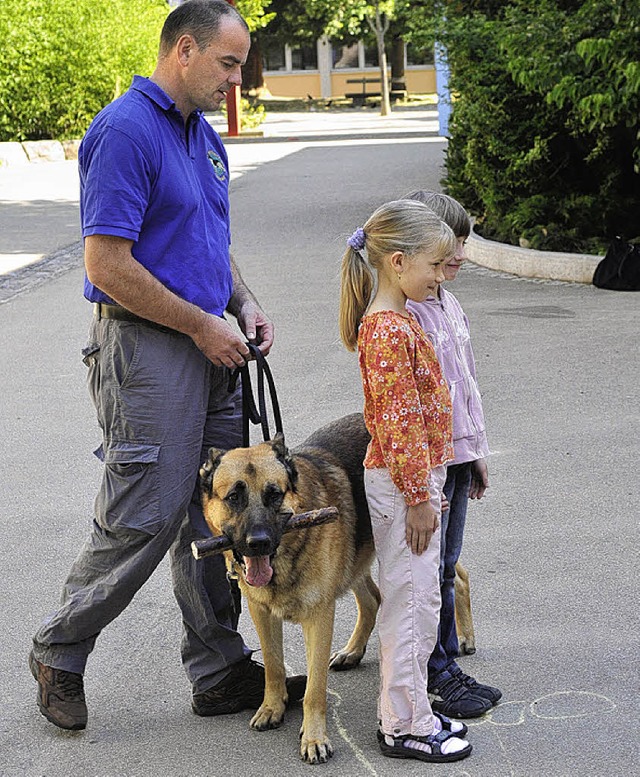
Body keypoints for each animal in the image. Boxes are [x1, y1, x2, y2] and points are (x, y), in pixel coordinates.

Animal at [200, 416, 476, 760]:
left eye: (274, 494)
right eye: (234, 497)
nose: (258, 542)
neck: (287, 552)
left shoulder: (319, 616)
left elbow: (315, 689)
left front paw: (314, 738)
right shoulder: (261, 611)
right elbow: (273, 667)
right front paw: (272, 707)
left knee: (457, 576)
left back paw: (465, 637)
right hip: (355, 558)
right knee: (373, 599)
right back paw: (352, 651)